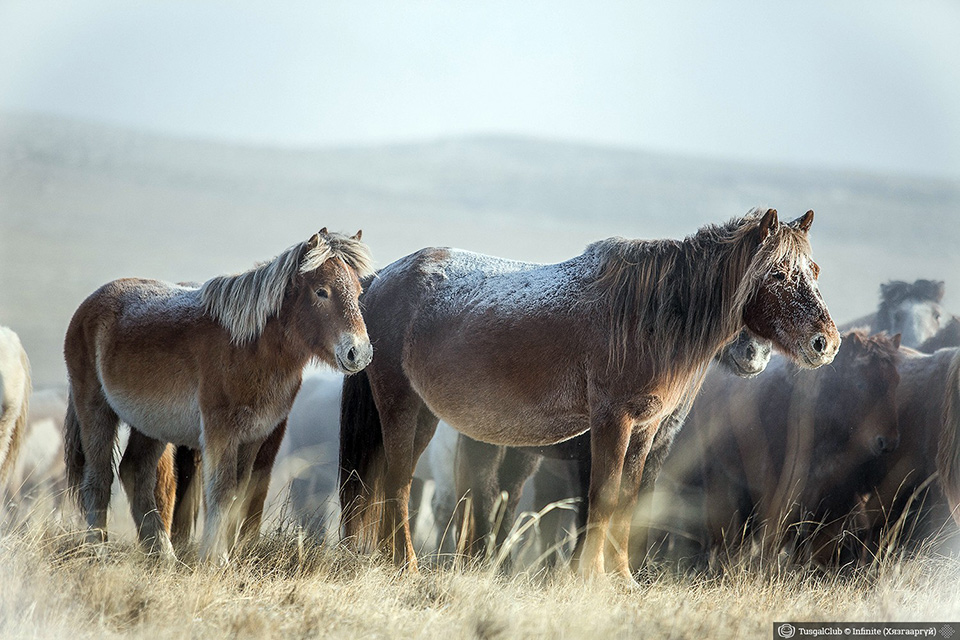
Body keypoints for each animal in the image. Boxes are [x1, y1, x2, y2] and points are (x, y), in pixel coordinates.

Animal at [63, 229, 373, 562]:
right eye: (321, 292)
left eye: (358, 292)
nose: (358, 353)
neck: (248, 346)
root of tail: (88, 305)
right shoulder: (220, 431)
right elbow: (221, 491)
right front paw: (214, 558)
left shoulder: (253, 436)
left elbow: (238, 492)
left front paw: (224, 555)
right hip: (95, 409)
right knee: (98, 478)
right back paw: (99, 551)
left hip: (149, 424)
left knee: (135, 472)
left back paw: (163, 553)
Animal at [448, 329, 773, 567]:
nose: (756, 353)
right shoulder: (589, 454)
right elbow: (590, 510)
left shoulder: (654, 451)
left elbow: (638, 504)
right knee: (485, 491)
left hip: (521, 452)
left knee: (507, 494)